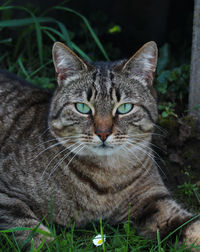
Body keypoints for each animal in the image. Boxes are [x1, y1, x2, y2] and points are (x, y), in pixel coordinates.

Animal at [0, 41, 200, 250]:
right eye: (82, 107)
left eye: (125, 108)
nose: (103, 133)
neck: (106, 176)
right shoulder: (6, 195)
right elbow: (31, 230)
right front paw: (50, 244)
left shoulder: (153, 200)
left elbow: (190, 226)